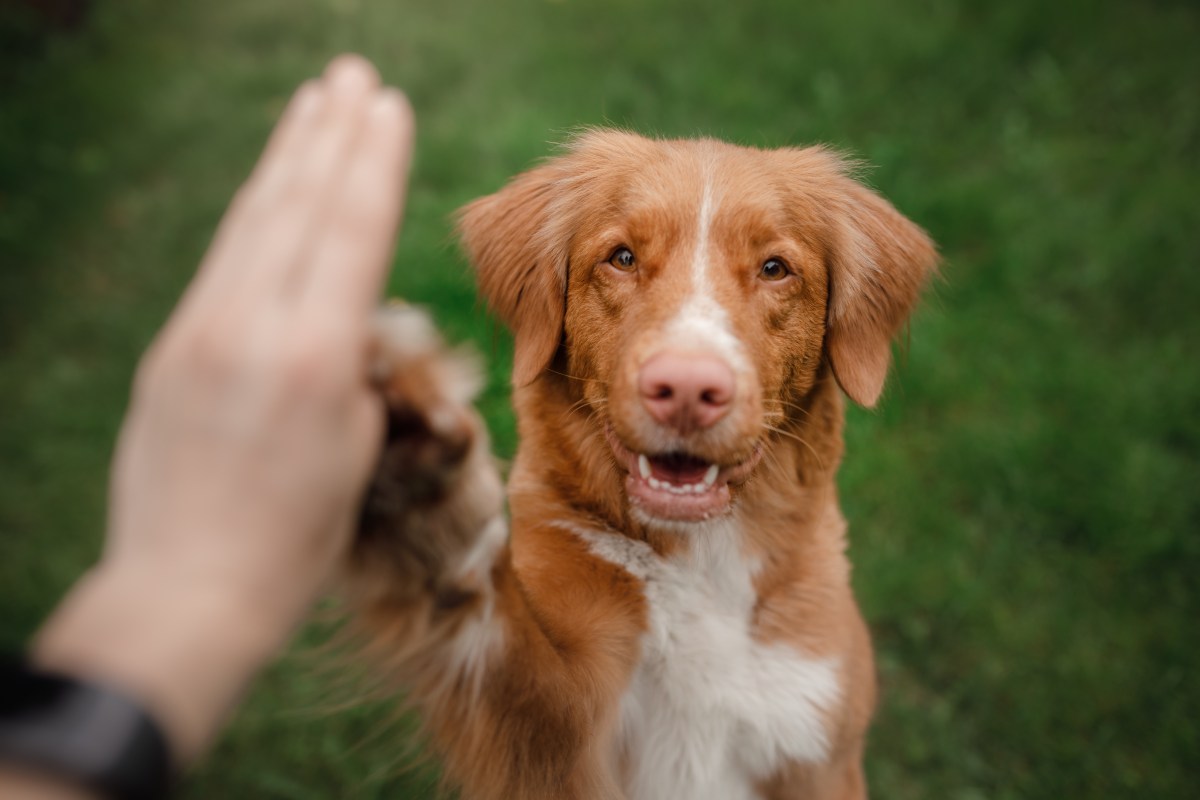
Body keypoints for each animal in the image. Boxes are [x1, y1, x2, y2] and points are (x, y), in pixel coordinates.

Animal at [345, 128, 936, 796]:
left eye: (775, 269)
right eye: (622, 258)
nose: (687, 388)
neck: (701, 559)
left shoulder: (821, 745)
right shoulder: (563, 734)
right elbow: (499, 637)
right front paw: (426, 496)